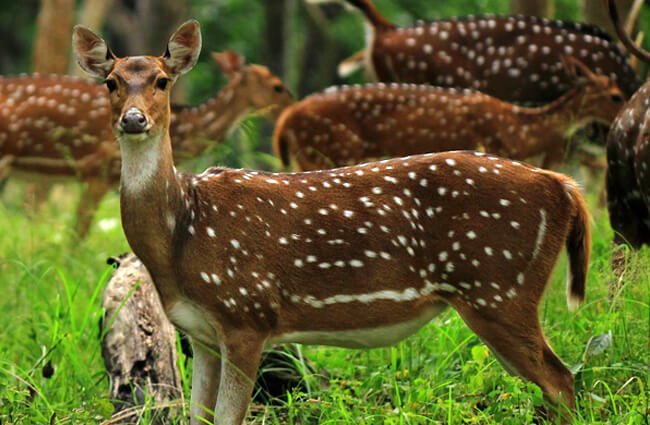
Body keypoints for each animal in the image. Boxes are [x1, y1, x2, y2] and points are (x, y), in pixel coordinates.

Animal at [73, 19, 588, 424]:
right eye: (111, 82)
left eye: (162, 81)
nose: (134, 119)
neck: (181, 234)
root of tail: (563, 187)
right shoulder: (199, 332)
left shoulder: (247, 314)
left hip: (500, 288)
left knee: (562, 381)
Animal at [274, 55, 624, 171]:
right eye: (615, 95)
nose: (625, 110)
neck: (520, 129)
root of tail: (283, 123)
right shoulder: (493, 147)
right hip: (329, 150)